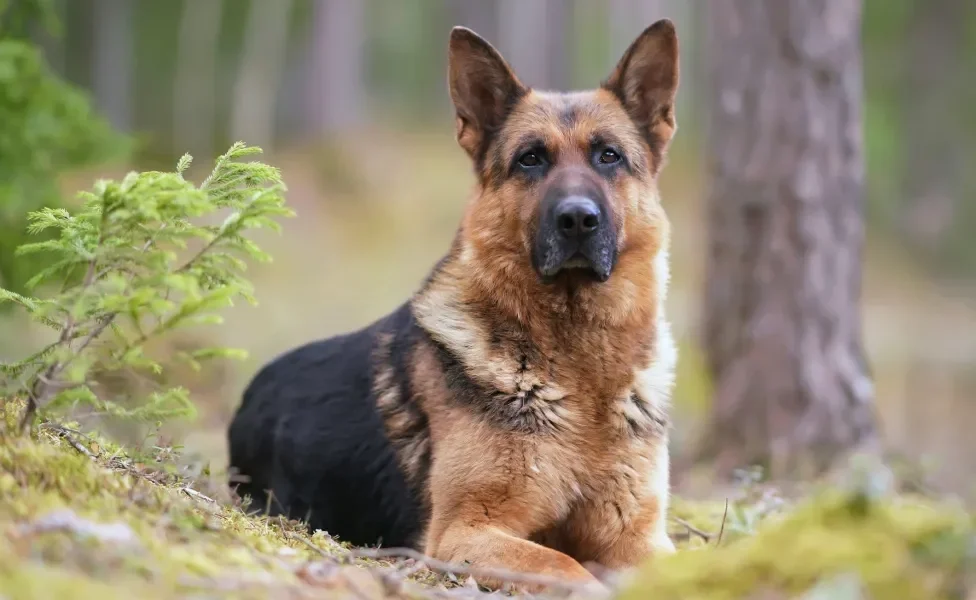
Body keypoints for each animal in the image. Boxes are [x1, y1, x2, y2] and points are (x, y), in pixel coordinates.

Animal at [231, 17, 680, 592]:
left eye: (609, 156)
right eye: (531, 159)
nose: (578, 219)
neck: (577, 366)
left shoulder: (638, 538)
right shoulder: (464, 532)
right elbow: (569, 567)